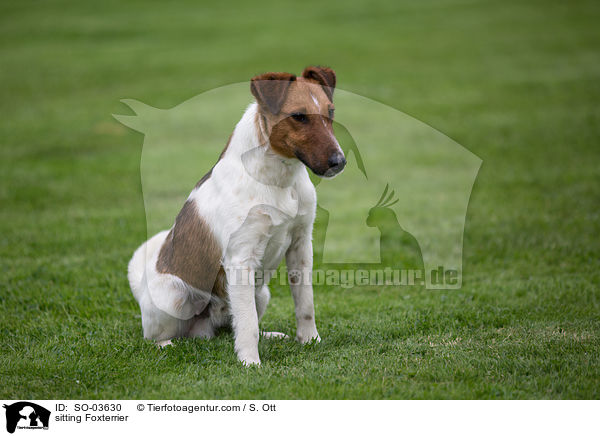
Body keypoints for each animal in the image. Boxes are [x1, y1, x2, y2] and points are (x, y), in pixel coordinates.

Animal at [126, 65, 344, 364]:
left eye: (331, 112)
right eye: (299, 116)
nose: (339, 162)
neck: (277, 180)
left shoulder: (301, 246)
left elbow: (305, 304)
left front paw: (310, 340)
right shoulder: (241, 258)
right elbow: (248, 323)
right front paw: (250, 362)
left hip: (261, 293)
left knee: (232, 327)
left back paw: (269, 335)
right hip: (175, 297)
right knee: (156, 336)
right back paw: (167, 344)